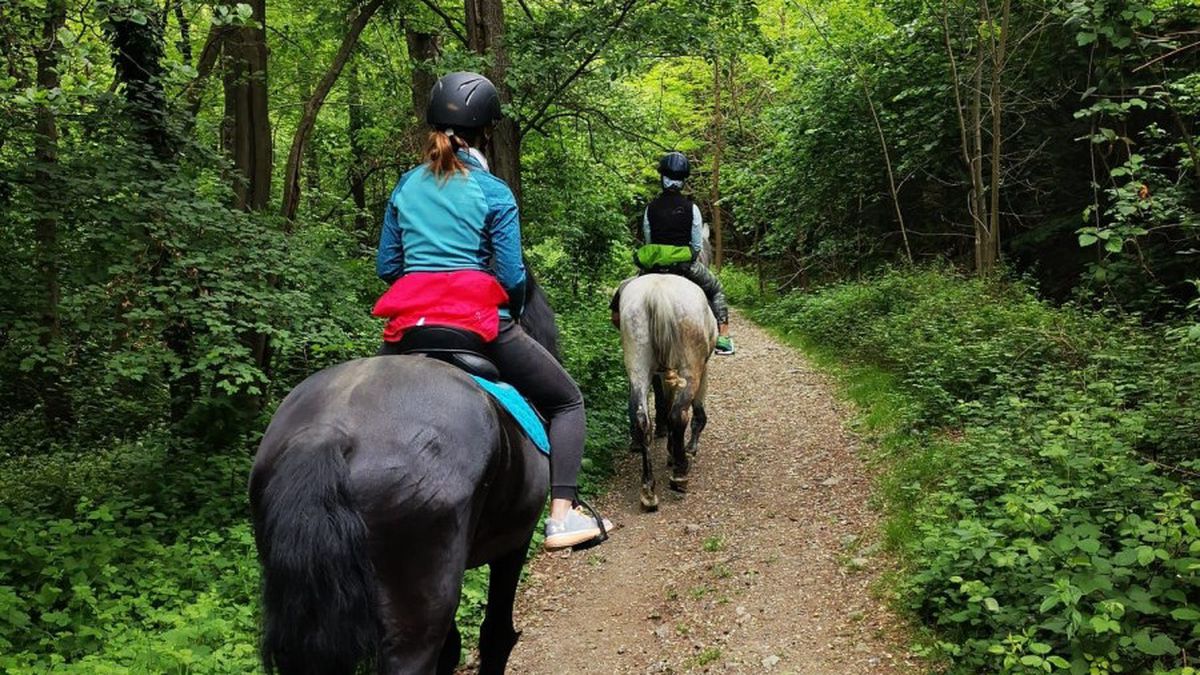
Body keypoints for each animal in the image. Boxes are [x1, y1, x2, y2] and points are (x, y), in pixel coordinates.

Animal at [617, 272, 717, 510]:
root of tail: (657, 294)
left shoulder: (662, 373)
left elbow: (664, 401)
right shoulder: (703, 368)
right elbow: (695, 410)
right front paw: (685, 450)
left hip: (638, 362)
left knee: (642, 418)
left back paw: (648, 489)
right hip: (690, 368)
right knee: (678, 414)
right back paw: (680, 473)